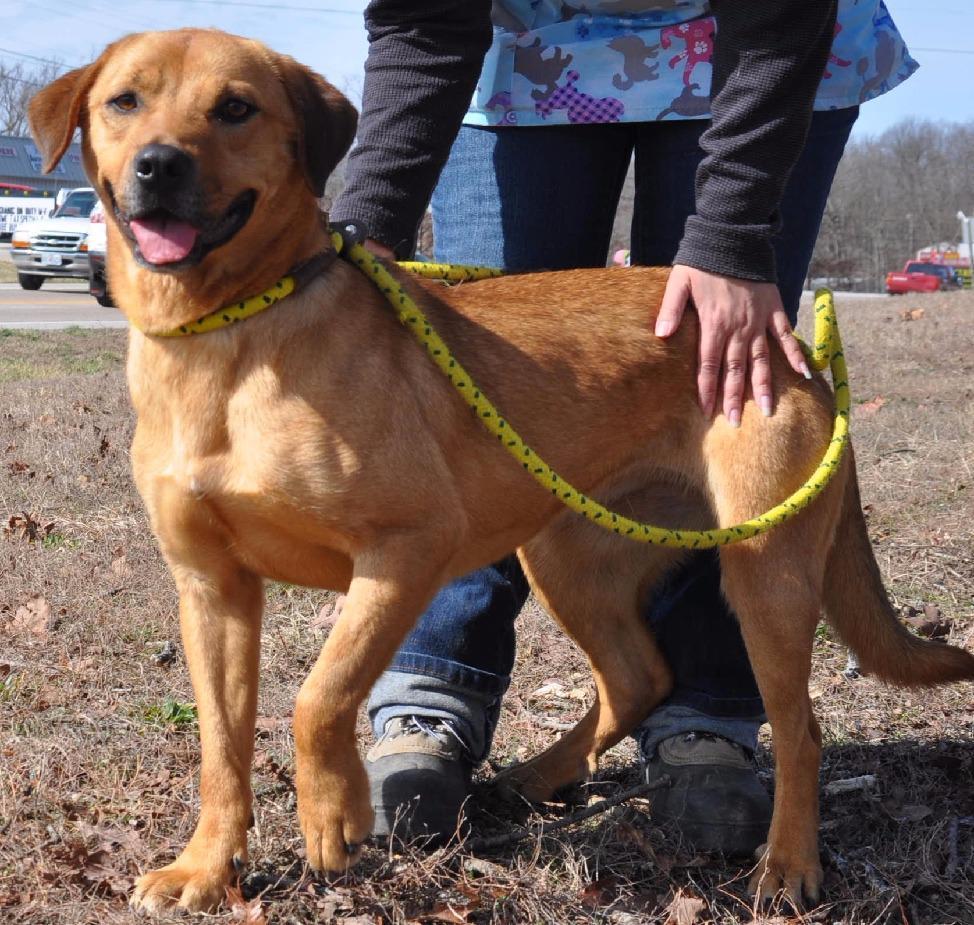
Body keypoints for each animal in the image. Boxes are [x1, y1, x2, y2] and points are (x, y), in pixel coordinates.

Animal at [30, 25, 974, 912]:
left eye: (235, 108)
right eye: (123, 102)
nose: (159, 165)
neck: (230, 338)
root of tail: (792, 344)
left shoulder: (406, 549)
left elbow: (318, 696)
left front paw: (333, 813)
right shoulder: (211, 587)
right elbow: (221, 747)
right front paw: (205, 867)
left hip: (763, 568)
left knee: (797, 727)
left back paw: (787, 864)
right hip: (568, 555)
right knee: (639, 675)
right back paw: (535, 778)